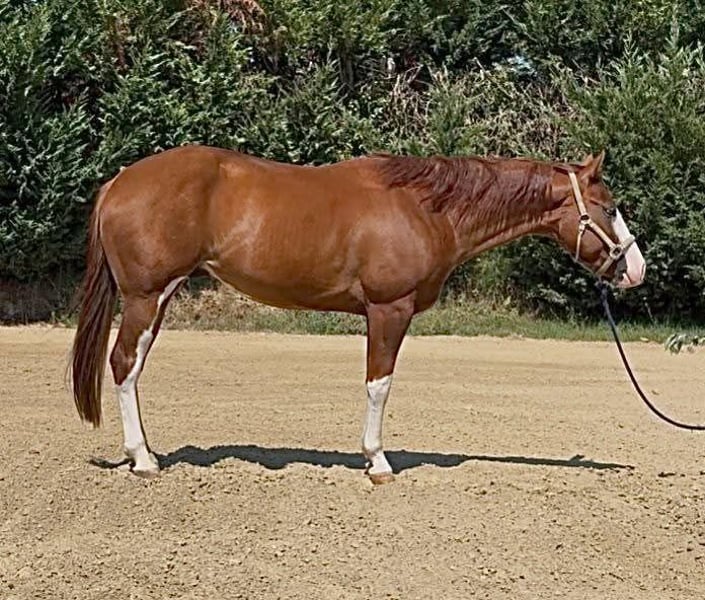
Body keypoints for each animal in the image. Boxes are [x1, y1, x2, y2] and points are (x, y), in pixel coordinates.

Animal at [71, 146, 645, 483]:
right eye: (610, 206)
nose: (637, 269)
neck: (426, 207)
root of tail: (119, 182)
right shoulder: (389, 310)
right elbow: (379, 385)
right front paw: (377, 463)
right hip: (147, 297)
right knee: (124, 365)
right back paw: (143, 459)